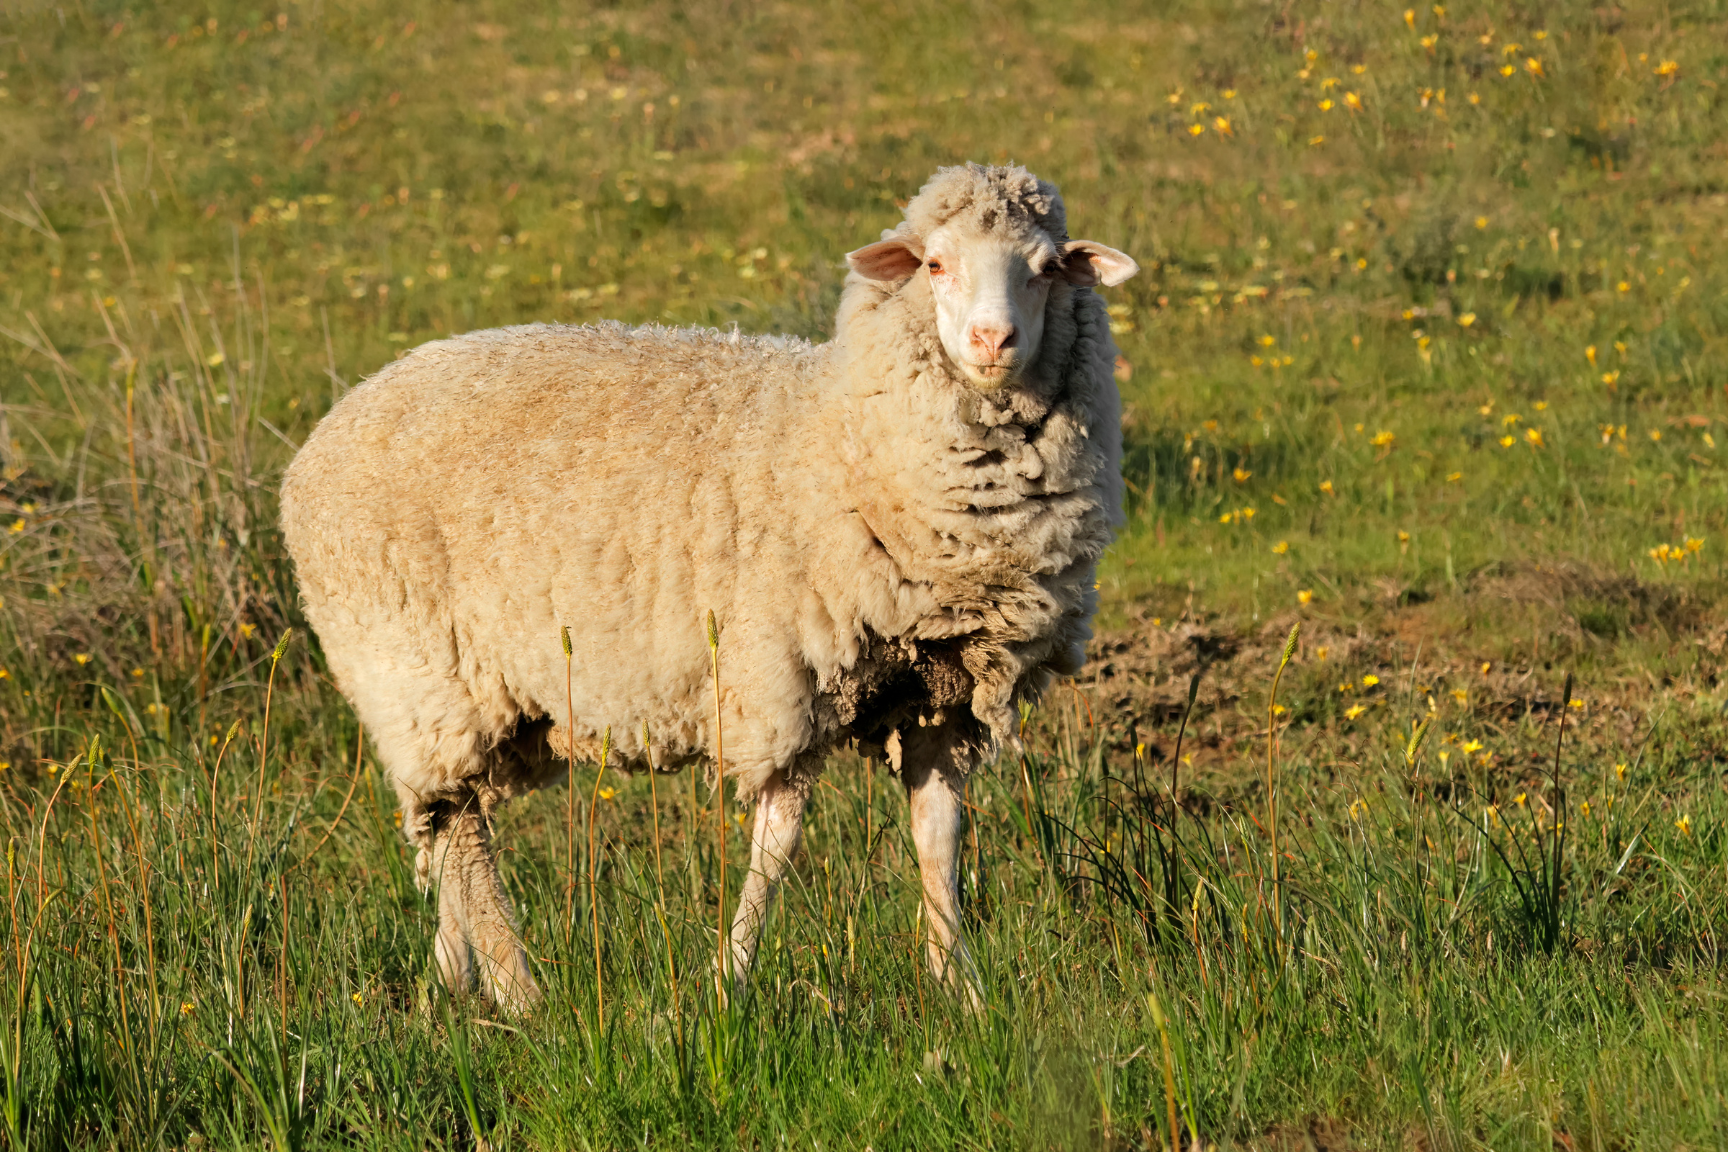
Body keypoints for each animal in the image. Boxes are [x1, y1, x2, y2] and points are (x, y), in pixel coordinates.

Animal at [278, 159, 1140, 1008]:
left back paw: (454, 980)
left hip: (486, 702)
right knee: (460, 836)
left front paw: (958, 986)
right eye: (934, 264)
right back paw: (519, 992)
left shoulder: (941, 691)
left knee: (450, 829)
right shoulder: (783, 680)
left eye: (1046, 270)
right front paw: (731, 979)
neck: (842, 438)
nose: (993, 340)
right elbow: (779, 842)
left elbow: (940, 835)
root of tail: (330, 428)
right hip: (417, 675)